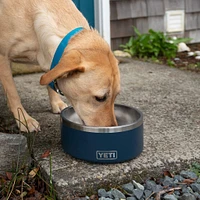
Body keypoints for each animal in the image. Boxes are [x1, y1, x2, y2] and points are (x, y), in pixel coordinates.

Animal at [0, 0, 120, 133]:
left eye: (116, 96)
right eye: (100, 98)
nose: (112, 129)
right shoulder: (3, 58)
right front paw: (24, 120)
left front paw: (56, 103)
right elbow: (13, 95)